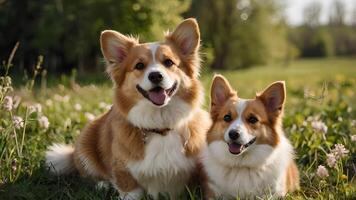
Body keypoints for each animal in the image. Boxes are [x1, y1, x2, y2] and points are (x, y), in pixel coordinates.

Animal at [44, 18, 211, 198]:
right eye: (139, 65)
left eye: (169, 62)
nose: (155, 76)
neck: (160, 125)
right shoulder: (124, 172)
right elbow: (130, 190)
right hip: (85, 141)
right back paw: (102, 184)